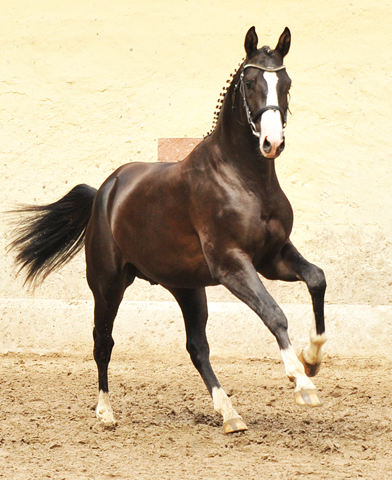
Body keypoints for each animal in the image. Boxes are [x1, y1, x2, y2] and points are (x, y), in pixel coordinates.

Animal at [8, 27, 328, 436]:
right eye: (250, 82)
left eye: (286, 83)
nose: (273, 143)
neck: (245, 179)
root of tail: (104, 193)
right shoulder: (232, 264)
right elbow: (274, 313)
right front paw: (302, 383)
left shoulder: (273, 257)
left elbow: (316, 278)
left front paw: (312, 358)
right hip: (108, 284)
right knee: (102, 341)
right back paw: (105, 412)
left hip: (187, 288)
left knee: (197, 348)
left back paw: (230, 415)